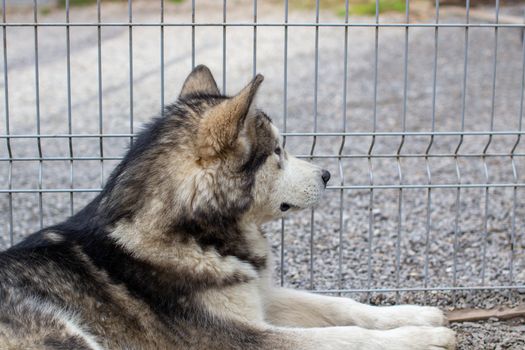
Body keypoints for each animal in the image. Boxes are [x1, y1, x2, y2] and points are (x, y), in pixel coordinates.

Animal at [0, 65, 454, 348]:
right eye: (277, 152)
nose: (326, 174)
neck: (196, 237)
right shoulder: (237, 336)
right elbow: (341, 337)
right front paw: (420, 340)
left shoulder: (259, 298)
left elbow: (341, 307)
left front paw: (414, 316)